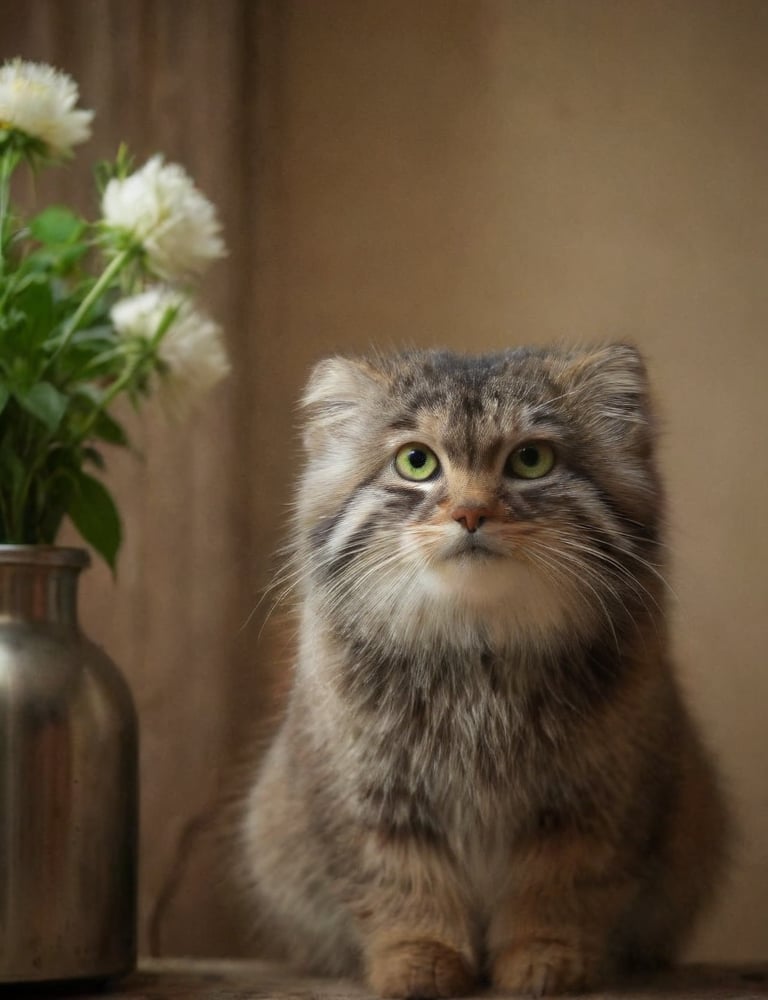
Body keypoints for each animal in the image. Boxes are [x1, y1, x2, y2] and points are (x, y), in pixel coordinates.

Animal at [238, 346, 728, 1000]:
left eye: (531, 460)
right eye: (416, 461)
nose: (471, 512)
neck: (479, 656)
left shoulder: (594, 805)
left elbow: (559, 892)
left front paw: (543, 958)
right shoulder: (372, 801)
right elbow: (400, 890)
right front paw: (421, 960)